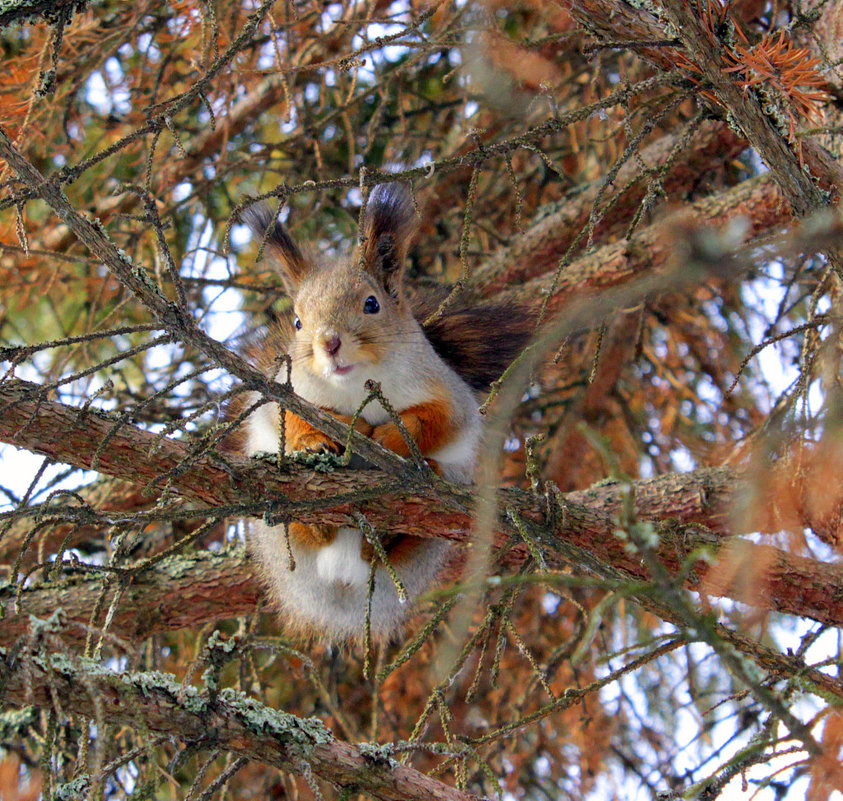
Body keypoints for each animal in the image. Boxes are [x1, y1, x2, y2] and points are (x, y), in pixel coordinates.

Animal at [236, 183, 528, 644]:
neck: (356, 385)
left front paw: (391, 439)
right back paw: (315, 522)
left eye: (371, 304)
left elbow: (435, 420)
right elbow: (288, 417)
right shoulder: (283, 393)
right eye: (298, 322)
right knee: (302, 532)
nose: (329, 343)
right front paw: (316, 438)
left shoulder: (448, 395)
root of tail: (341, 583)